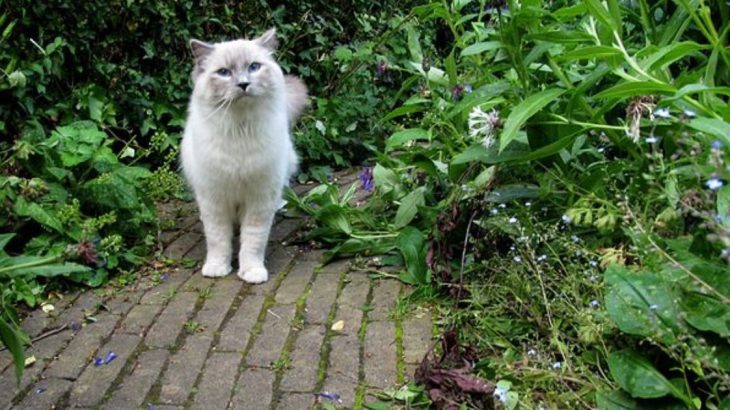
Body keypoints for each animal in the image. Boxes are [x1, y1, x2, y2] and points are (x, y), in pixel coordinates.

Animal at [183, 28, 308, 284]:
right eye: (223, 72)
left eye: (253, 67)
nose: (243, 84)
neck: (240, 130)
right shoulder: (215, 200)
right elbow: (218, 240)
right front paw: (217, 268)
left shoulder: (259, 198)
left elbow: (253, 242)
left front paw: (252, 272)